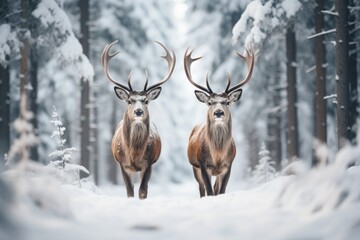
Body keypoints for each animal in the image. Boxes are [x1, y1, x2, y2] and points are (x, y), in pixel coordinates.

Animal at [101, 40, 176, 199]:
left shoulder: (149, 163)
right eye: (130, 100)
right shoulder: (122, 164)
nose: (139, 111)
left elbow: (142, 191)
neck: (134, 154)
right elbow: (130, 191)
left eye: (146, 100)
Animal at [184, 46, 255, 197]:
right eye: (210, 102)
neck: (217, 156)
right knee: (202, 189)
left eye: (227, 102)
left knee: (216, 188)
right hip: (194, 167)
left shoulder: (228, 165)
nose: (218, 112)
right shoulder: (203, 164)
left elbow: (221, 191)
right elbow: (209, 191)